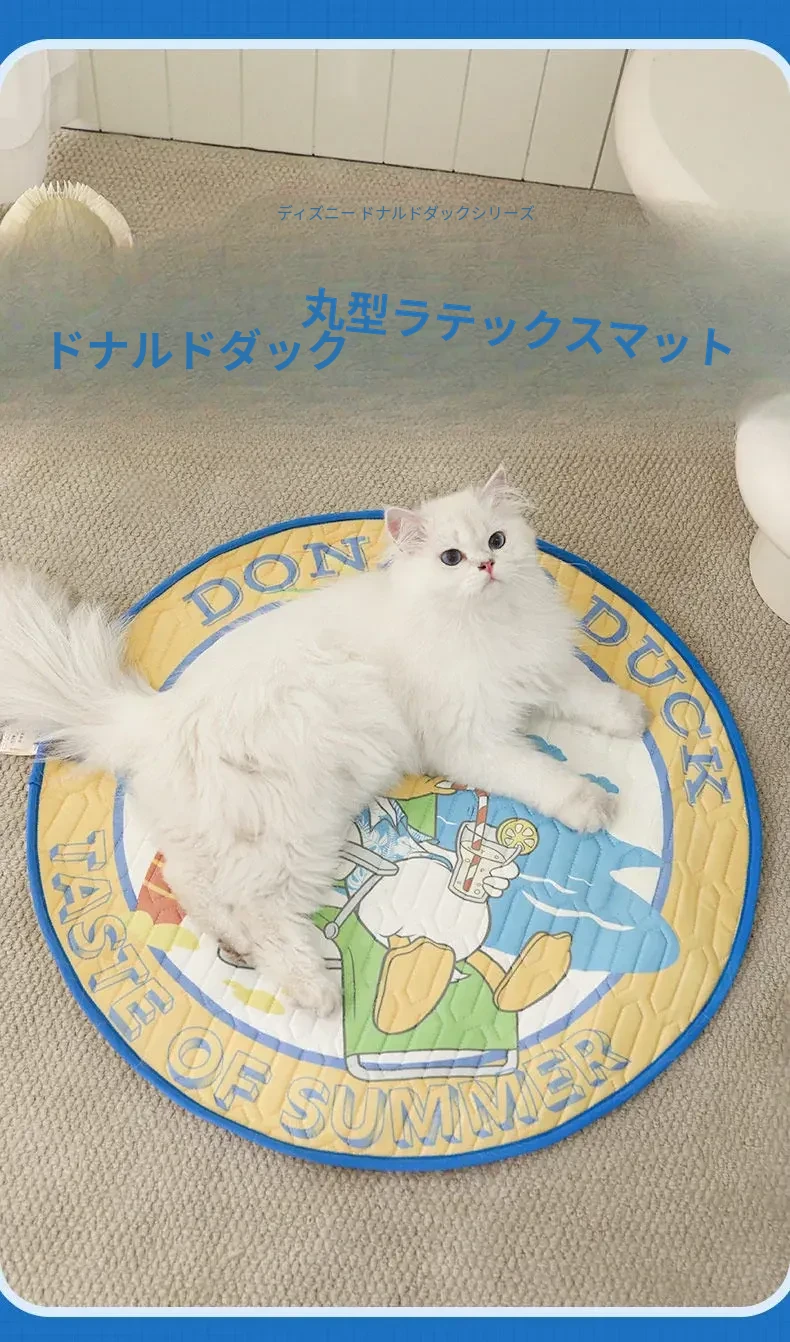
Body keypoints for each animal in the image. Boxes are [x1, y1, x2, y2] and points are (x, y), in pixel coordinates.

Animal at [0, 466, 649, 1016]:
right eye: (452, 558)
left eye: (497, 540)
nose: (486, 568)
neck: (490, 625)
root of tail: (154, 715)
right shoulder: (470, 740)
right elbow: (544, 774)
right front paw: (592, 803)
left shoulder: (539, 674)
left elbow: (586, 695)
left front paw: (630, 714)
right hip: (296, 833)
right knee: (257, 912)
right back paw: (310, 988)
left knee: (198, 890)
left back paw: (241, 946)